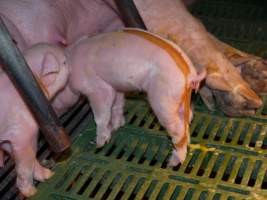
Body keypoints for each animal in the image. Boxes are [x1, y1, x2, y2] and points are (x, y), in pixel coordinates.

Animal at [0, 43, 70, 197]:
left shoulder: (10, 137)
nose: (69, 54)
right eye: (64, 62)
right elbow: (26, 162)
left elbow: (30, 158)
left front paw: (48, 175)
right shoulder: (22, 134)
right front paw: (31, 192)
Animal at [66, 28, 206, 166]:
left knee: (178, 129)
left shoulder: (96, 88)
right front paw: (117, 126)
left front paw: (99, 143)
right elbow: (117, 105)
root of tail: (189, 76)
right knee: (188, 118)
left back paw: (172, 162)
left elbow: (102, 114)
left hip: (163, 99)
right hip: (179, 98)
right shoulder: (117, 86)